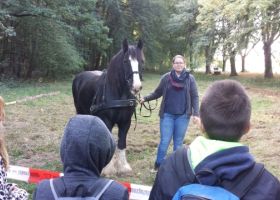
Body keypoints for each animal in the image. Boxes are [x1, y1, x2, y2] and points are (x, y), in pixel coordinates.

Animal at [71, 39, 145, 175]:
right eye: (125, 61)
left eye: (142, 61)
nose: (136, 86)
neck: (119, 95)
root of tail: (79, 76)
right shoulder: (107, 120)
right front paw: (107, 169)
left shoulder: (126, 122)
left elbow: (121, 142)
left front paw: (123, 167)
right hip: (80, 111)